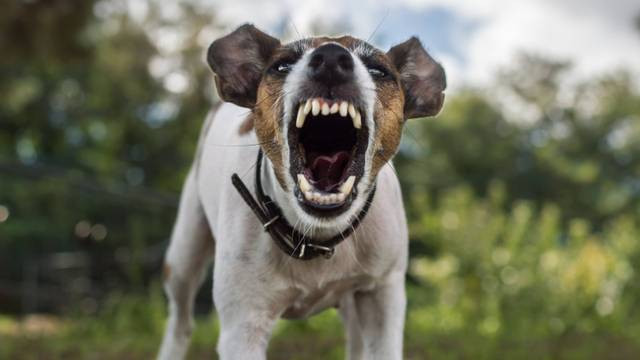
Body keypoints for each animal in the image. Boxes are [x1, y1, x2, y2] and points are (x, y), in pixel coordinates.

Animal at [157, 23, 442, 358]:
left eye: (378, 70)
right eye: (282, 66)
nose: (331, 58)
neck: (316, 236)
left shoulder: (382, 297)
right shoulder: (243, 325)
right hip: (184, 254)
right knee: (181, 320)